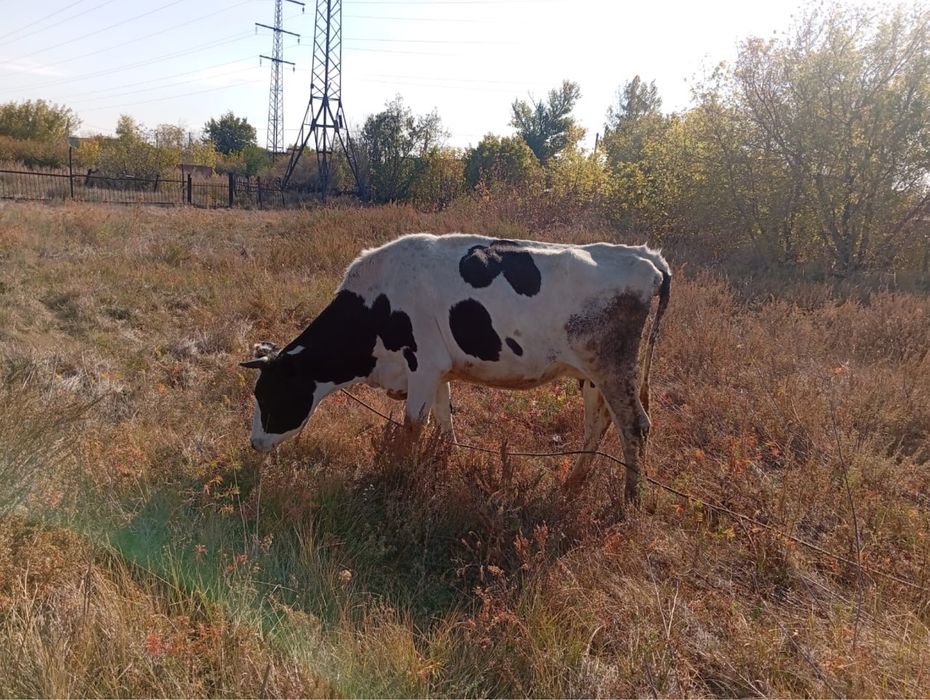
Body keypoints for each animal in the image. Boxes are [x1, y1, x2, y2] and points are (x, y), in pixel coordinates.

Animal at [240, 233, 671, 502]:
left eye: (270, 394)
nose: (254, 444)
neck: (375, 306)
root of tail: (643, 255)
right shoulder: (439, 370)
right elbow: (444, 418)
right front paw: (448, 461)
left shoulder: (422, 364)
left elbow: (413, 424)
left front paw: (395, 475)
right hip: (594, 376)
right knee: (599, 424)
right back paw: (574, 484)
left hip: (614, 368)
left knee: (635, 426)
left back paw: (630, 501)